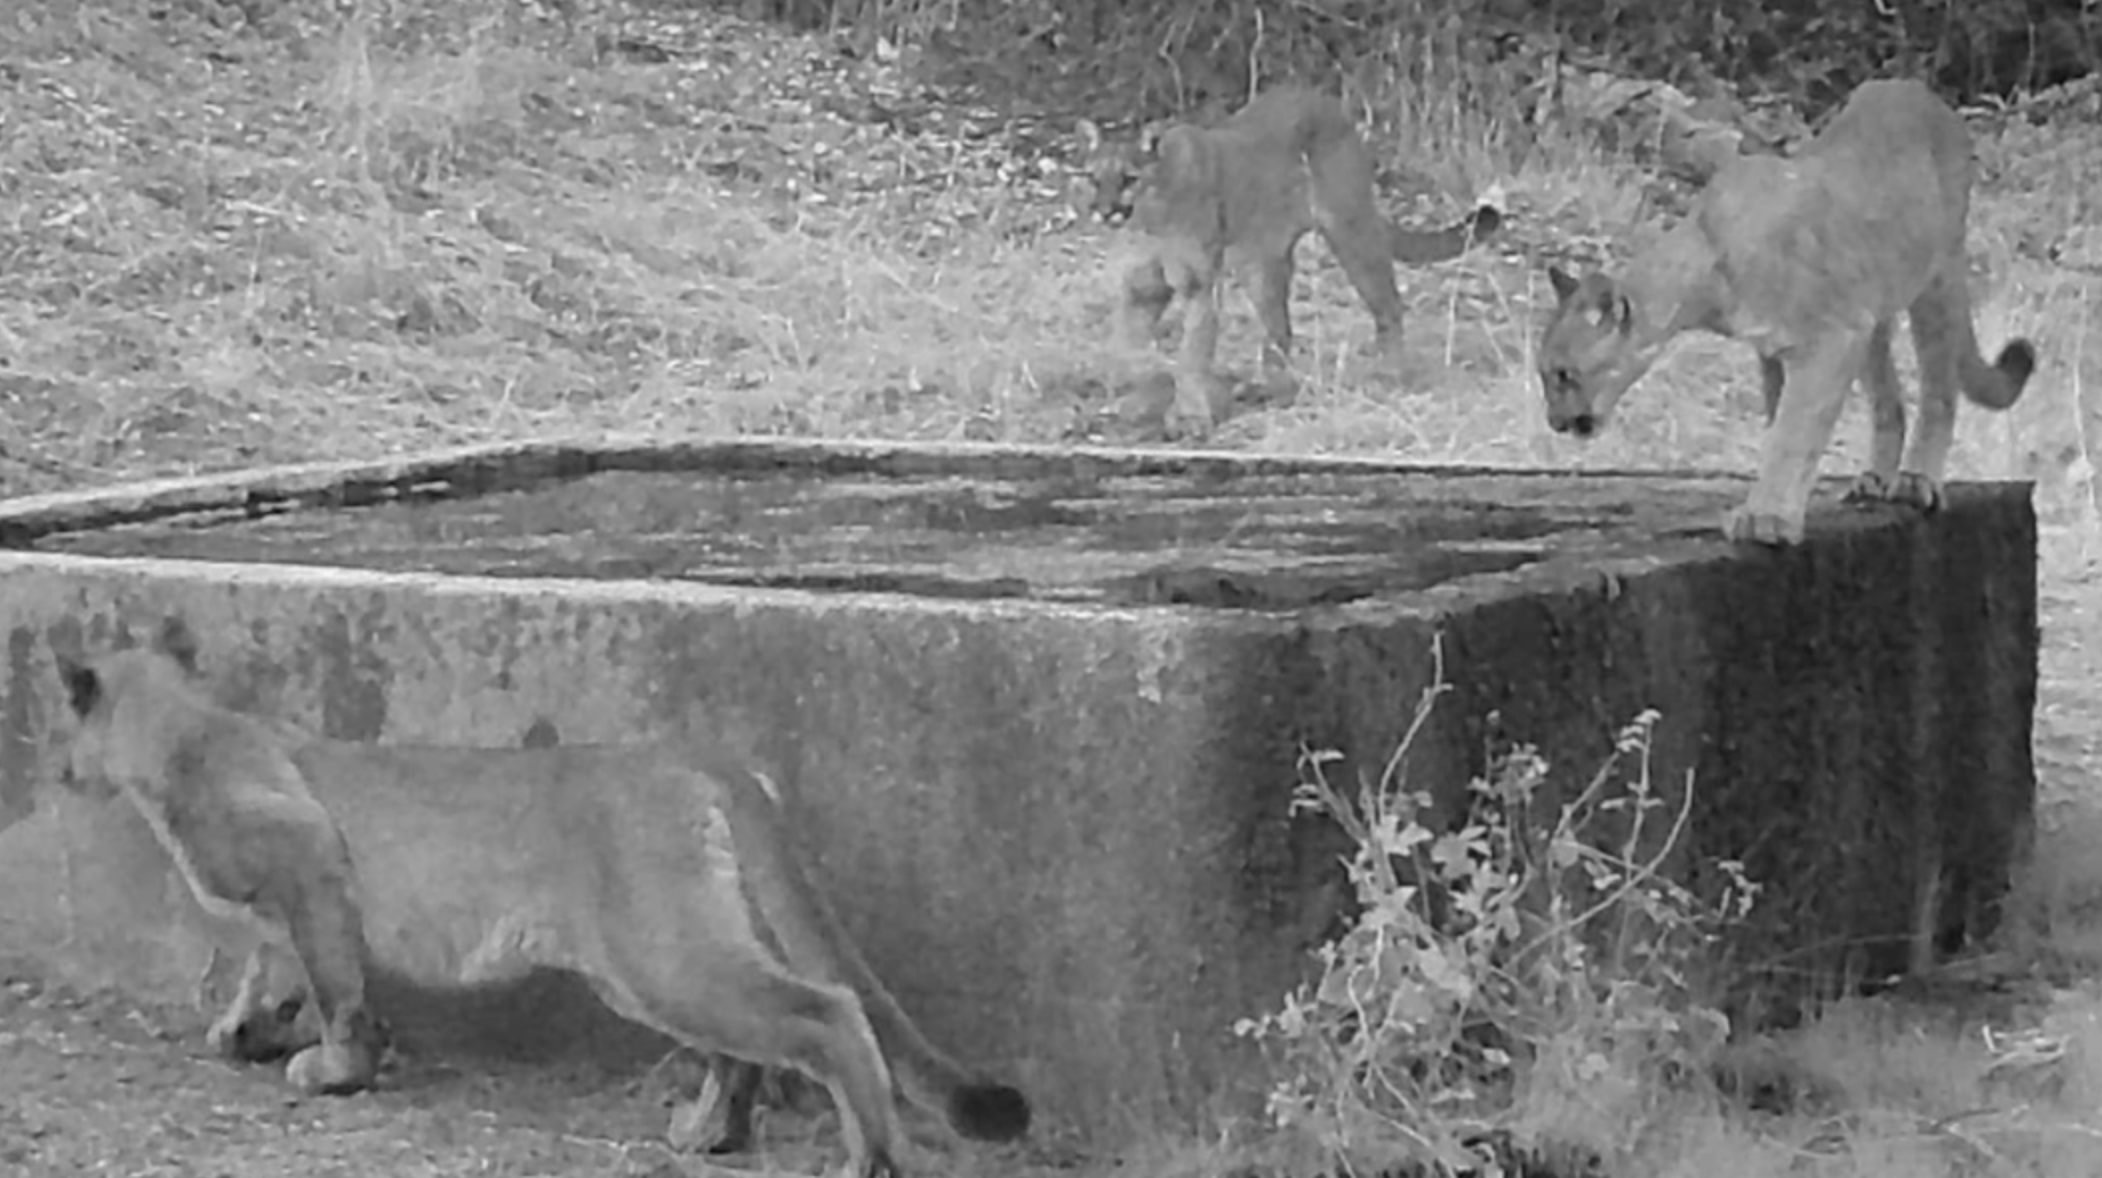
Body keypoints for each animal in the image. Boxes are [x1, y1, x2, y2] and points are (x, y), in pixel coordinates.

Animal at [53, 619, 1030, 1178]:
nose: (57, 772)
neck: (186, 731)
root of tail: (689, 750)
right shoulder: (284, 908)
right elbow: (273, 967)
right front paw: (248, 1033)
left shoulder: (311, 859)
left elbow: (336, 988)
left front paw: (335, 1070)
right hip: (665, 953)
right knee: (748, 1043)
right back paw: (710, 1133)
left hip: (658, 950)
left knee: (824, 1013)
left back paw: (868, 1161)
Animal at [1079, 85, 1503, 441]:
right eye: (1091, 177)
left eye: (1129, 178)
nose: (1103, 210)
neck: (1150, 216)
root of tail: (1328, 103)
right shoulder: (1142, 288)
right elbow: (1127, 346)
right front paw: (1131, 388)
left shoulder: (1199, 286)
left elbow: (1191, 354)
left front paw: (1189, 416)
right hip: (1260, 263)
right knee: (1281, 331)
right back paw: (1266, 389)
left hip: (1351, 232)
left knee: (1389, 306)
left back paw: (1389, 375)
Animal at [1536, 77, 2036, 546]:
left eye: (1563, 373)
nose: (1554, 423)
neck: (1707, 261)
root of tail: (1916, 89)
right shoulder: (1779, 348)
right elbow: (1780, 428)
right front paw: (1774, 508)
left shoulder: (1829, 337)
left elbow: (1792, 434)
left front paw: (1767, 519)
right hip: (1871, 307)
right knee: (1889, 400)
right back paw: (1875, 479)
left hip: (1934, 281)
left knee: (1939, 389)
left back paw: (1916, 482)